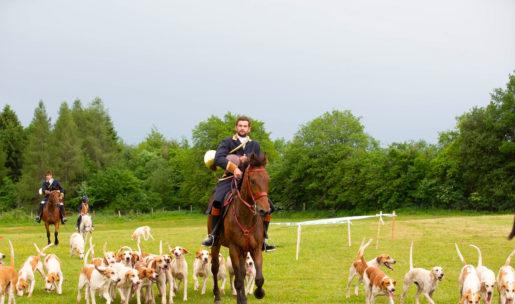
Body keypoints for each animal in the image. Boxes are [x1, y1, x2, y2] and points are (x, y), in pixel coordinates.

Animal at [209, 154, 270, 304]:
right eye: (252, 181)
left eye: (268, 179)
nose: (264, 210)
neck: (245, 217)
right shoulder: (234, 249)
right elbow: (238, 280)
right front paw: (241, 298)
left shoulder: (255, 248)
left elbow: (258, 278)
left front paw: (259, 293)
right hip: (216, 245)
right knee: (215, 268)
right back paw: (217, 296)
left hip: (244, 251)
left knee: (241, 273)